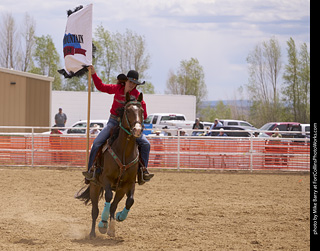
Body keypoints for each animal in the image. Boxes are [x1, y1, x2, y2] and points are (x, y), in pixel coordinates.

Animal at [76, 92, 144, 237]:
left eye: (141, 111)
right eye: (128, 110)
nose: (137, 130)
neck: (124, 151)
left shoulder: (127, 184)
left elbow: (127, 202)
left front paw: (117, 220)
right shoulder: (106, 179)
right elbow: (108, 197)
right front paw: (103, 224)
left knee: (117, 204)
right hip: (95, 186)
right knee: (95, 210)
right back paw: (93, 233)